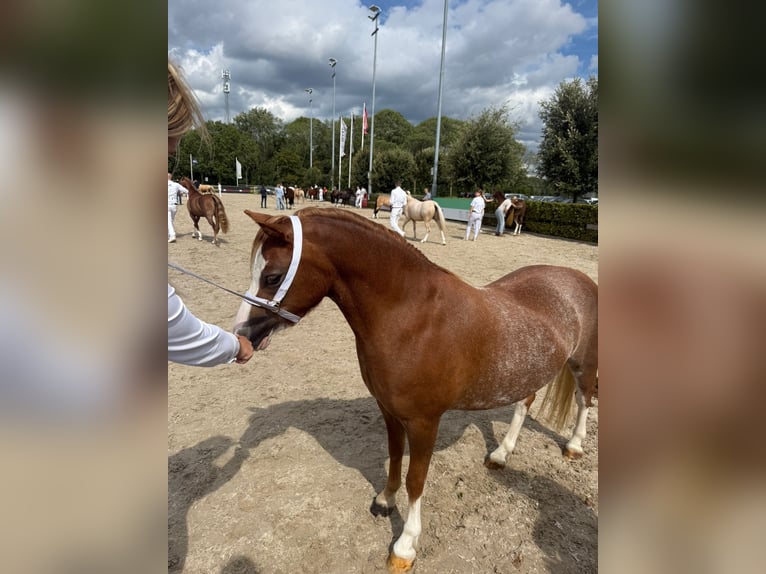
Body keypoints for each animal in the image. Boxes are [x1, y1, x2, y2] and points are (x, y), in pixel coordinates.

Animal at [233, 208, 598, 573]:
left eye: (272, 277)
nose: (242, 334)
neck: (412, 318)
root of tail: (578, 278)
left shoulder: (424, 422)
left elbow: (416, 479)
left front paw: (405, 546)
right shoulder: (389, 411)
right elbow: (395, 457)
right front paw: (385, 500)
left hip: (583, 364)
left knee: (584, 400)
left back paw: (574, 446)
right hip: (527, 370)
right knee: (525, 403)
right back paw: (500, 454)